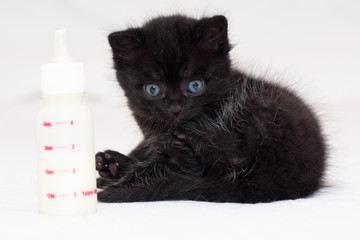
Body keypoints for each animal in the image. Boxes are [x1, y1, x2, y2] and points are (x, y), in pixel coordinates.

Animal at [95, 15, 326, 202]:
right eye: (153, 89)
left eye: (195, 85)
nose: (176, 107)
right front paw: (114, 164)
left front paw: (119, 179)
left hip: (260, 112)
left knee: (220, 162)